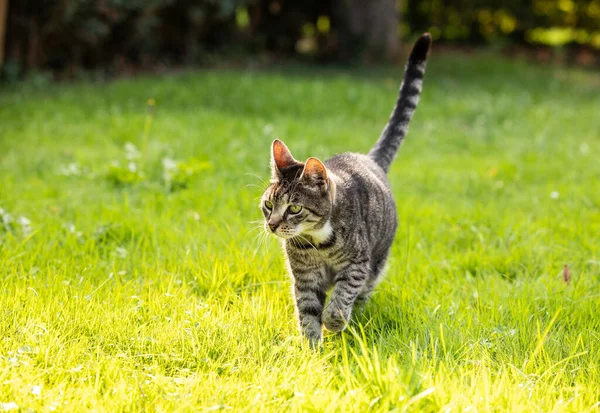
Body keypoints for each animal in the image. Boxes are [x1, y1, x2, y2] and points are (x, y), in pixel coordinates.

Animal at [258, 33, 432, 346]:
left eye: (294, 208)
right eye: (268, 205)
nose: (273, 224)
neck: (316, 241)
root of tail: (368, 157)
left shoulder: (357, 264)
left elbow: (342, 296)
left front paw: (335, 321)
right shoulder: (304, 277)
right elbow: (307, 312)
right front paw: (312, 349)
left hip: (378, 261)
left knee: (363, 292)